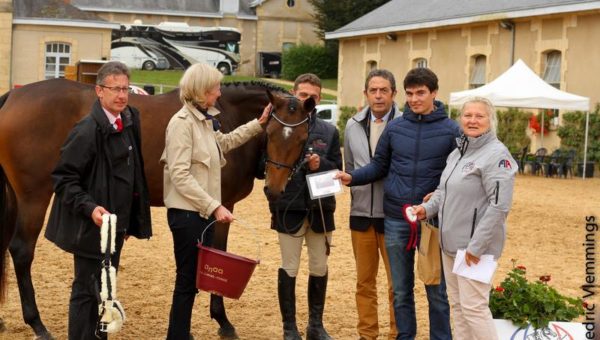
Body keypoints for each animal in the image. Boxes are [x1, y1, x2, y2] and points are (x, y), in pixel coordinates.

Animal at [0, 78, 316, 338]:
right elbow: (217, 254)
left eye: (302, 138)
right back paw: (37, 324)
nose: (274, 189)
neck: (225, 116)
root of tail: (14, 96)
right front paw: (222, 321)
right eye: (271, 131)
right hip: (34, 196)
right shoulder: (221, 205)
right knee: (21, 251)